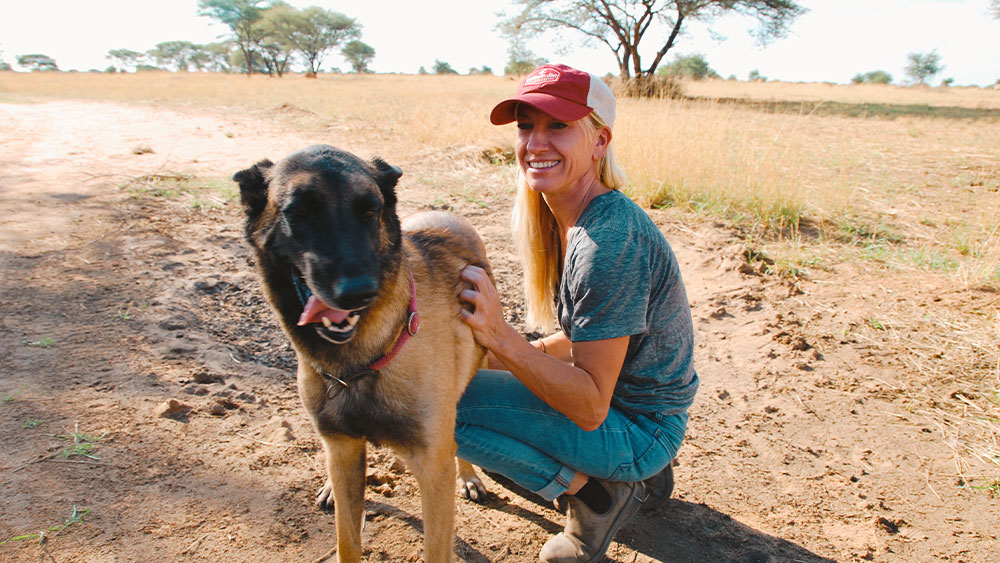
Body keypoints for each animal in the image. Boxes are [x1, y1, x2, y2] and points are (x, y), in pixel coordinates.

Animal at [232, 147, 490, 563]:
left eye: (370, 211)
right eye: (298, 211)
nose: (357, 292)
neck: (359, 363)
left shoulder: (433, 470)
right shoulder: (343, 446)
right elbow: (347, 541)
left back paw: (468, 475)